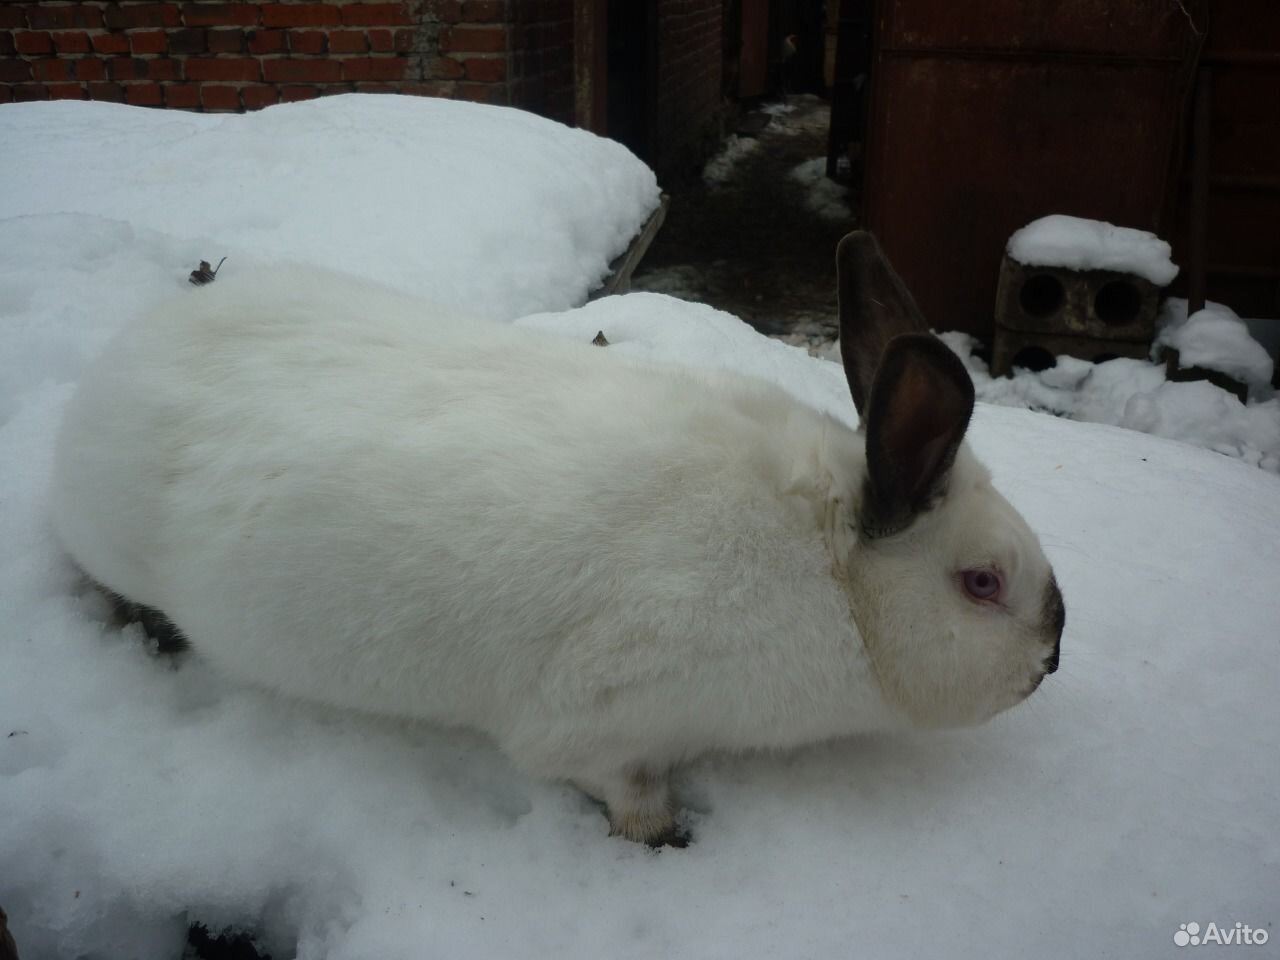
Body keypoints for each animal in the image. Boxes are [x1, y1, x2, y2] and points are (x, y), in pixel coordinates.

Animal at [52, 236, 1059, 844]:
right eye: (981, 583)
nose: (1051, 658)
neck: (827, 568)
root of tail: (114, 366)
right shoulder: (604, 723)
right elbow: (624, 791)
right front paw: (665, 840)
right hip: (110, 544)